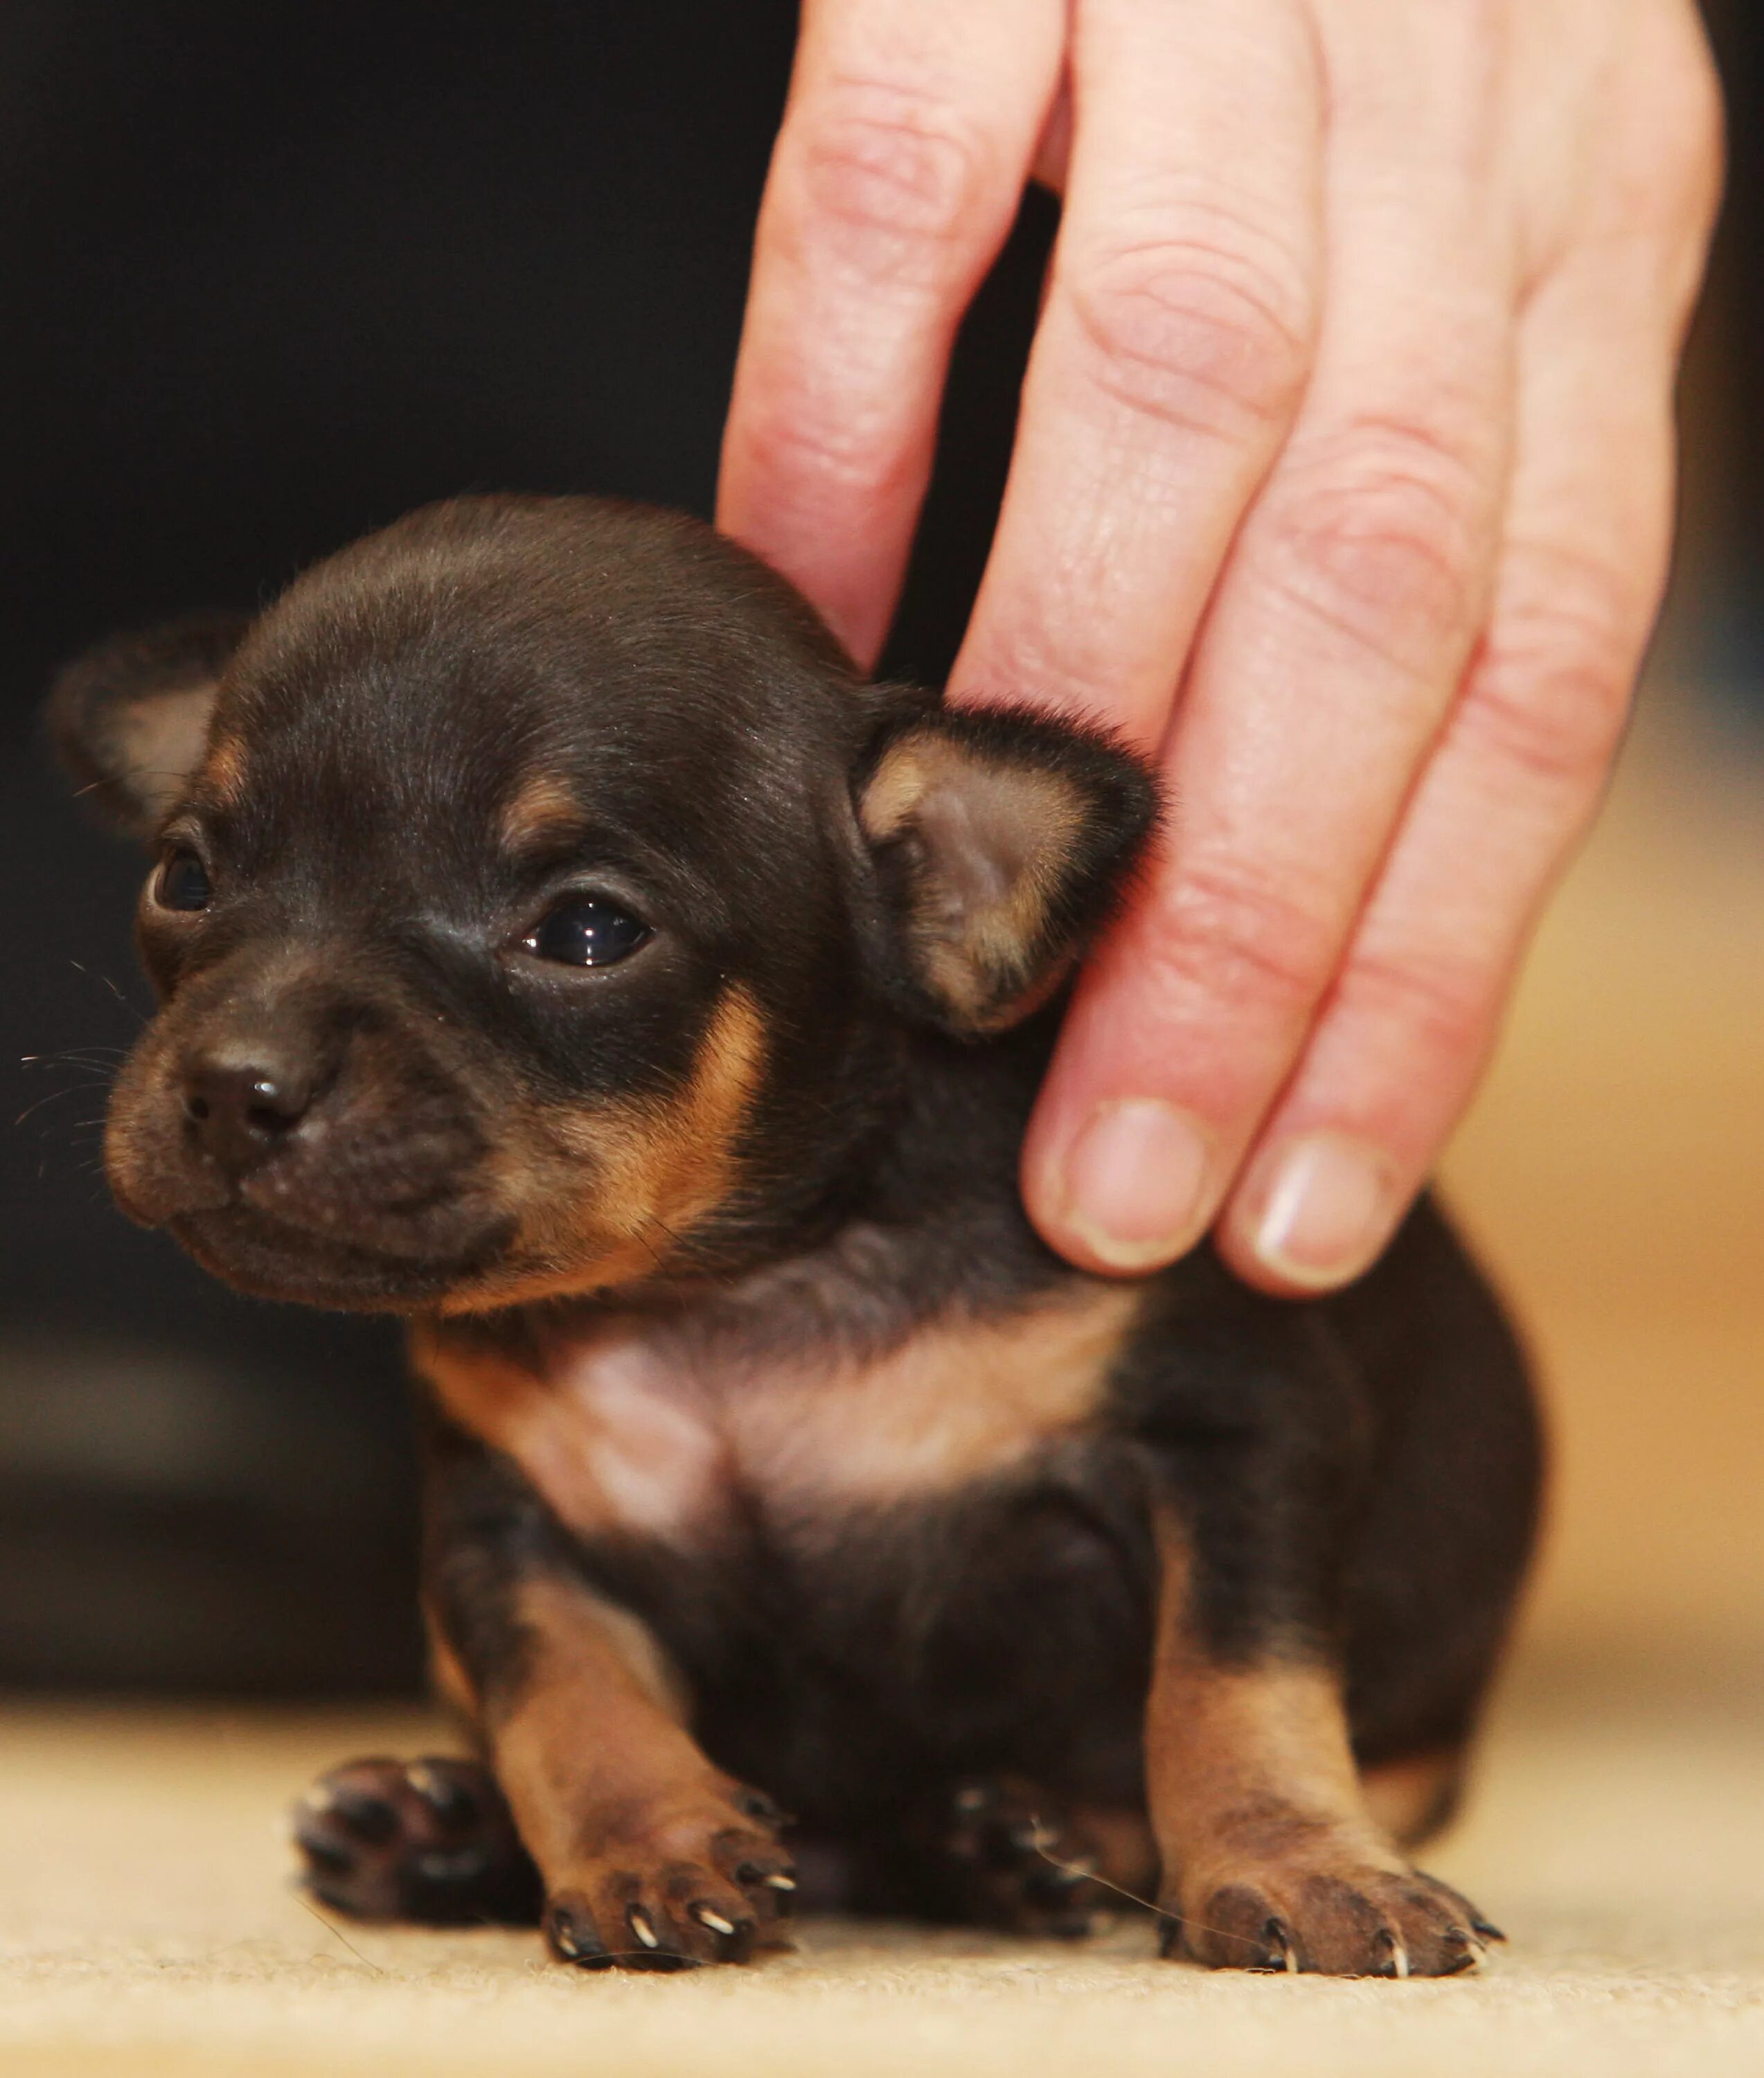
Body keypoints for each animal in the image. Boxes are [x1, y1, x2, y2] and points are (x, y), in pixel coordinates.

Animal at [51, 495, 1546, 1970]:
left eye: (584, 931)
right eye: (184, 877)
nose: (231, 1085)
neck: (732, 1290)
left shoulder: (1233, 1431)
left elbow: (1233, 1679)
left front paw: (1291, 1866)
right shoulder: (507, 1522)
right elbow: (565, 1696)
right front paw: (648, 1847)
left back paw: (1023, 1840)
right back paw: (439, 1830)